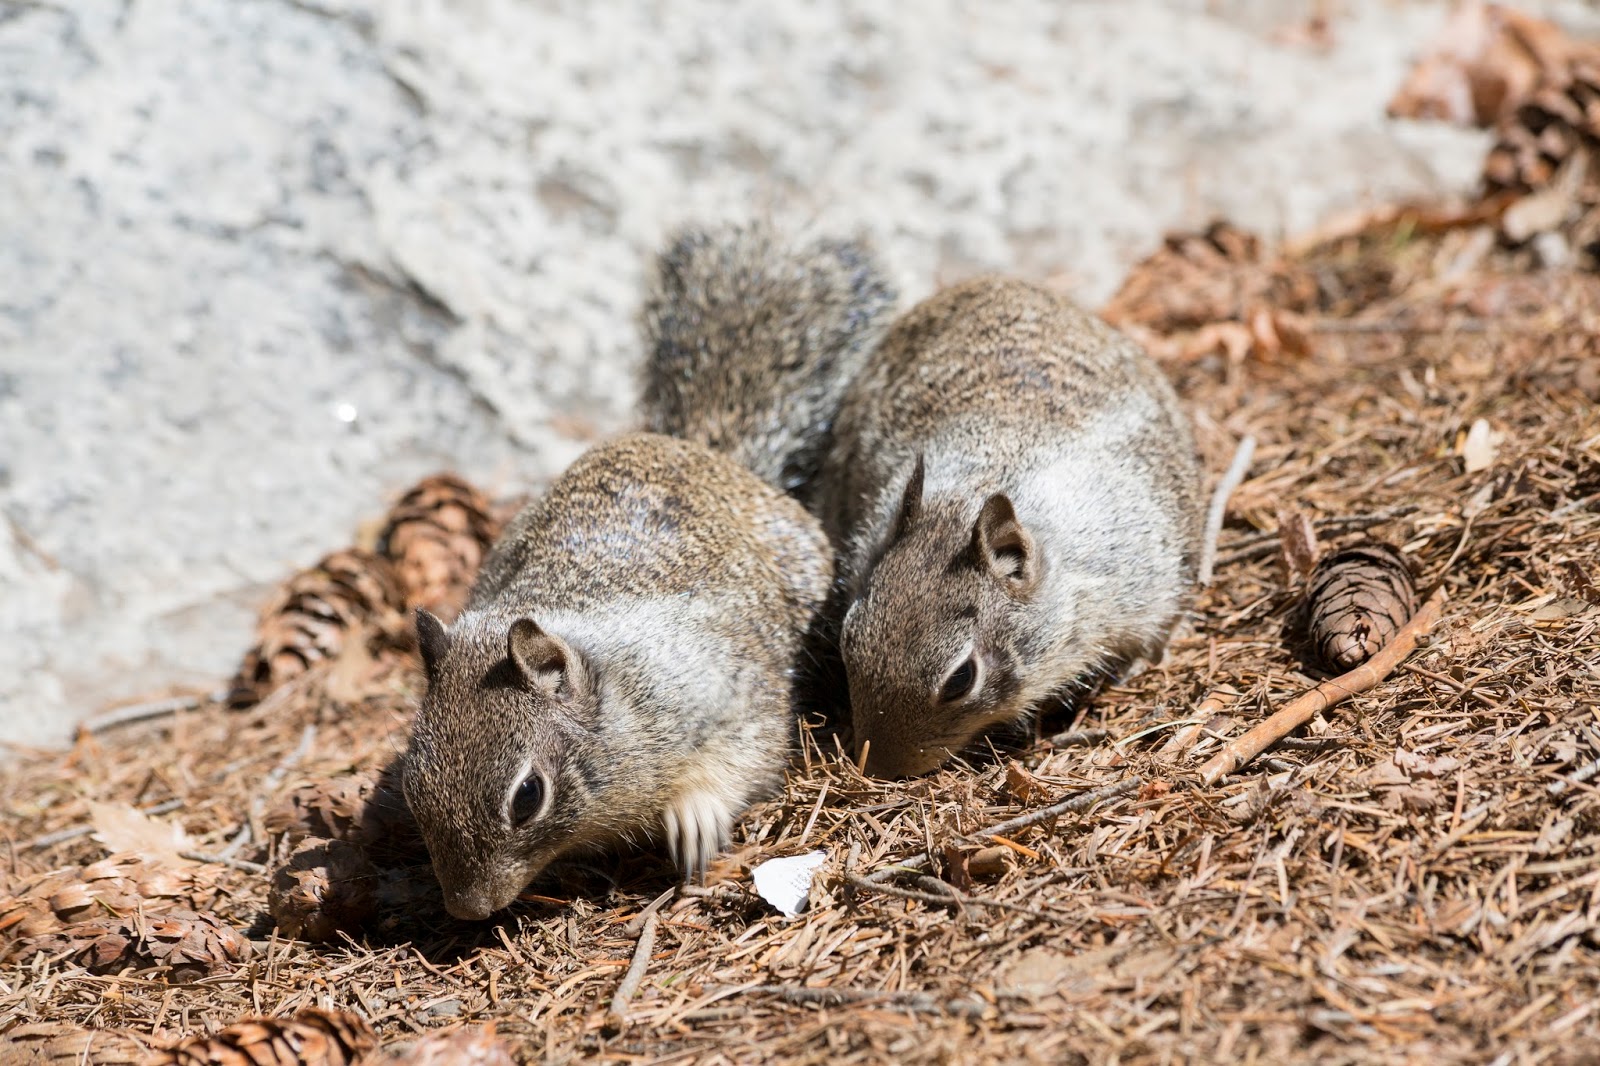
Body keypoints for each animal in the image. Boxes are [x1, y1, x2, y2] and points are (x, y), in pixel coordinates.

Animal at [401, 222, 896, 920]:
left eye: (528, 796)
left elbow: (747, 753)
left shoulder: (724, 689)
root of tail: (701, 448)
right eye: (412, 784)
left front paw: (695, 817)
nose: (469, 908)